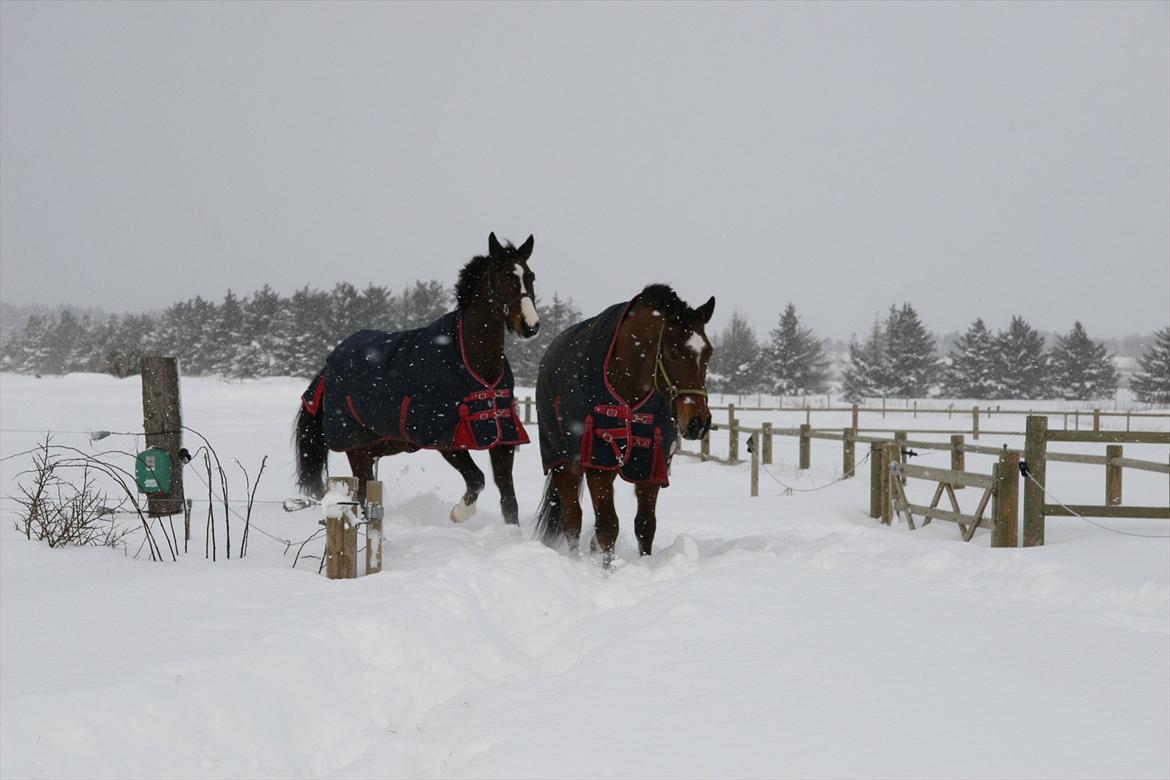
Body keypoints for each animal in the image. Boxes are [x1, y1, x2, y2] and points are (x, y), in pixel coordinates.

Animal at [297, 231, 542, 523]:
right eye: (505, 276)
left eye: (531, 276)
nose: (530, 325)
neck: (471, 362)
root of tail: (328, 366)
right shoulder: (445, 439)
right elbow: (476, 479)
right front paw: (459, 513)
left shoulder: (503, 435)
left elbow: (508, 499)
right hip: (357, 448)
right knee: (361, 493)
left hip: (380, 445)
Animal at [535, 286, 716, 568]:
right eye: (673, 353)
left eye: (708, 353)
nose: (698, 422)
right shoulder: (598, 463)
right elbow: (608, 526)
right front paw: (608, 572)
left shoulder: (651, 465)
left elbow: (645, 525)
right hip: (562, 462)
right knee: (572, 518)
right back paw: (576, 559)